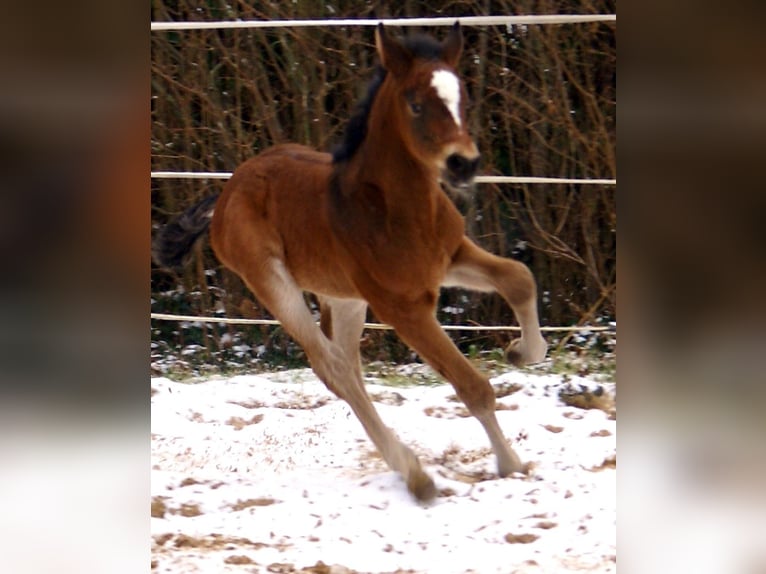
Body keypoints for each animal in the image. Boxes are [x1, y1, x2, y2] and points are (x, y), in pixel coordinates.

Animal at [153, 22, 548, 502]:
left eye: (464, 100)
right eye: (416, 104)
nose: (463, 164)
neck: (395, 209)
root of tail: (226, 194)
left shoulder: (451, 256)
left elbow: (519, 277)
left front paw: (522, 352)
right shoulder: (402, 307)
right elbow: (472, 385)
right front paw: (511, 463)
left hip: (344, 298)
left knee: (348, 367)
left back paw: (402, 463)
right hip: (272, 282)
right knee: (334, 367)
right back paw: (414, 474)